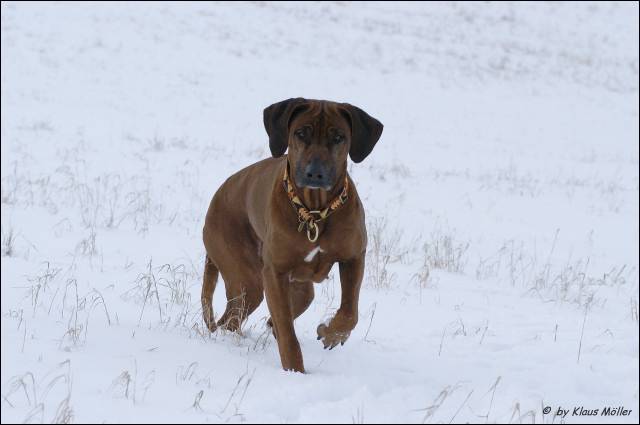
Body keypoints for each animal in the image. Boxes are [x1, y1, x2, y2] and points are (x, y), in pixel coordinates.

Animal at [201, 98, 383, 372]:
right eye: (301, 133)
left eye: (338, 137)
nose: (315, 173)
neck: (315, 213)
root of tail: (215, 201)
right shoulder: (274, 273)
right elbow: (288, 332)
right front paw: (295, 371)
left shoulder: (354, 256)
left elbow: (350, 311)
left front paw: (331, 333)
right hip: (247, 277)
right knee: (231, 320)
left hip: (295, 285)